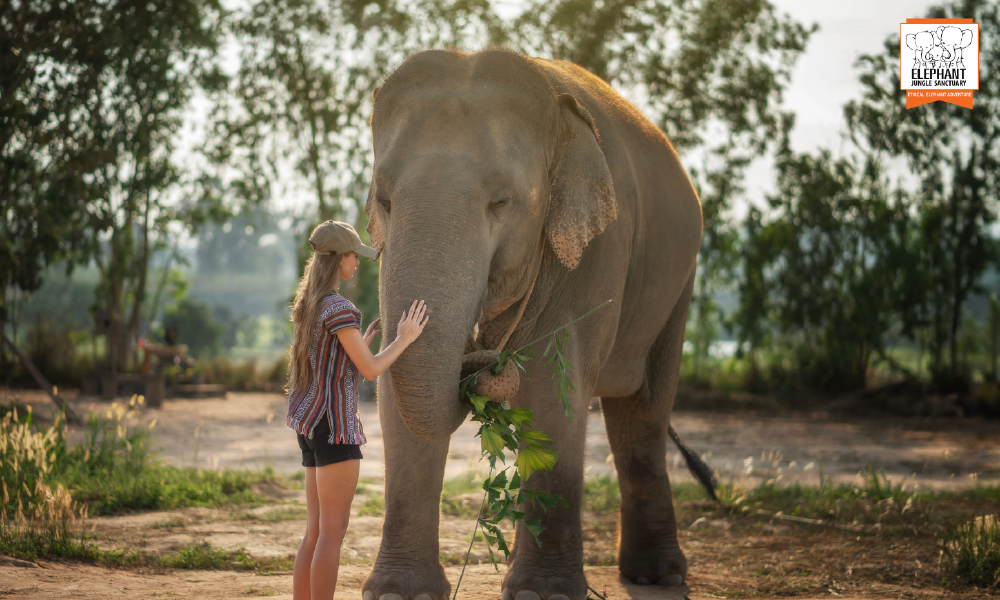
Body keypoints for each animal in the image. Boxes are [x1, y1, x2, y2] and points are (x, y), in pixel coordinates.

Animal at [362, 49, 704, 600]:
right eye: (385, 200)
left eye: (501, 202)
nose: (480, 361)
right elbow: (395, 389)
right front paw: (398, 593)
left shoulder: (597, 249)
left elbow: (549, 387)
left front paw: (542, 594)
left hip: (678, 284)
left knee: (644, 413)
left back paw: (657, 577)